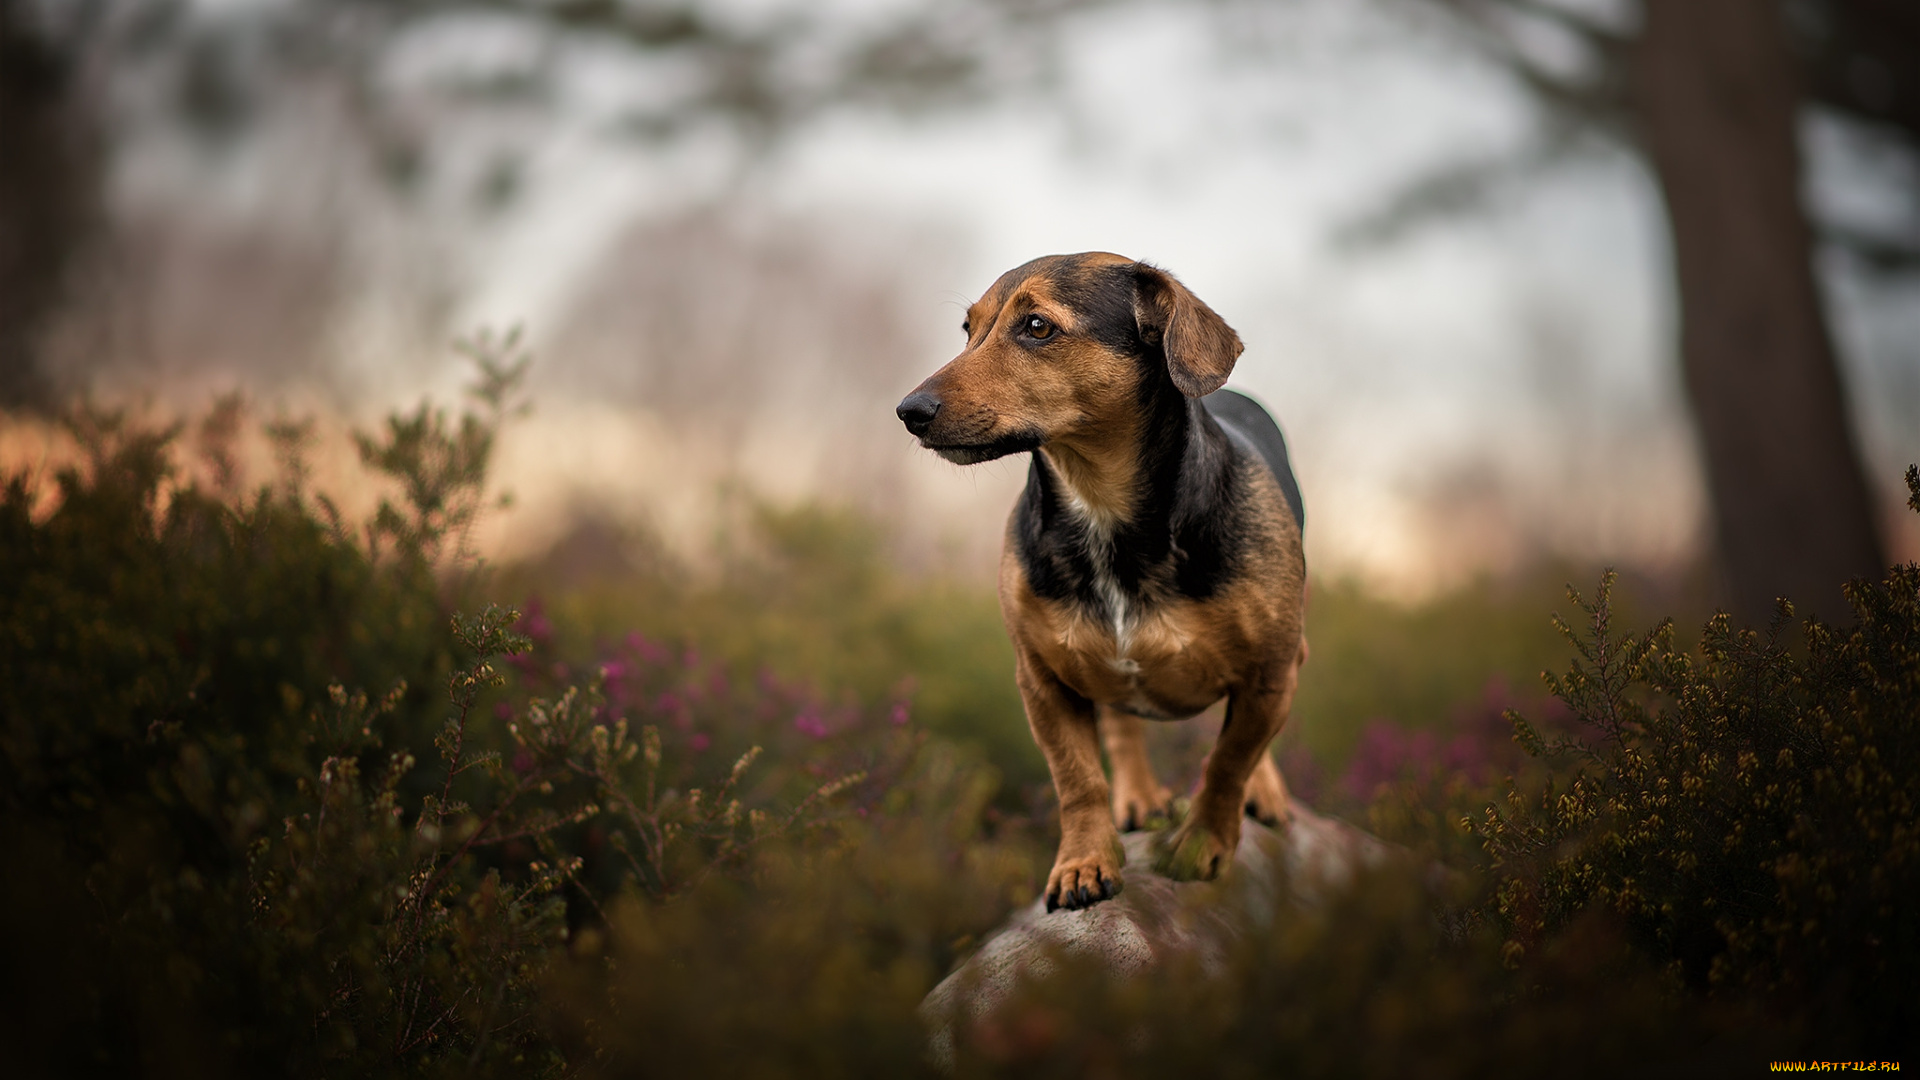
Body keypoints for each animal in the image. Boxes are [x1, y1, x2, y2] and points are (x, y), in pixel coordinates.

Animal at [894, 249, 1305, 907]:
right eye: (968, 329)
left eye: (1037, 326)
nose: (910, 411)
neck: (1102, 512)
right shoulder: (1042, 680)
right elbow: (1077, 777)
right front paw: (1084, 861)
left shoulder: (1269, 672)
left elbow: (1230, 760)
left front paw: (1201, 846)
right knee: (1119, 723)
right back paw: (1137, 797)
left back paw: (1261, 793)